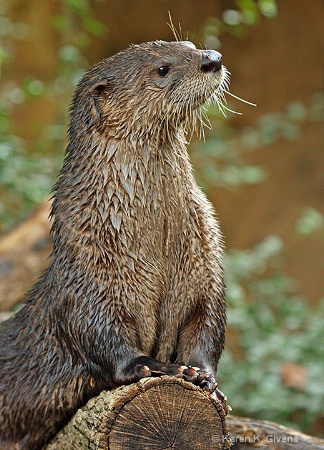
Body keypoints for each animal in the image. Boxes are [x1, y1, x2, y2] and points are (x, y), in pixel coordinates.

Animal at [0, 40, 228, 448]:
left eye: (188, 45)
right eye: (163, 69)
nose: (212, 59)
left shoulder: (204, 263)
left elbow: (205, 323)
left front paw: (204, 377)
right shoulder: (90, 275)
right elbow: (106, 340)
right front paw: (160, 367)